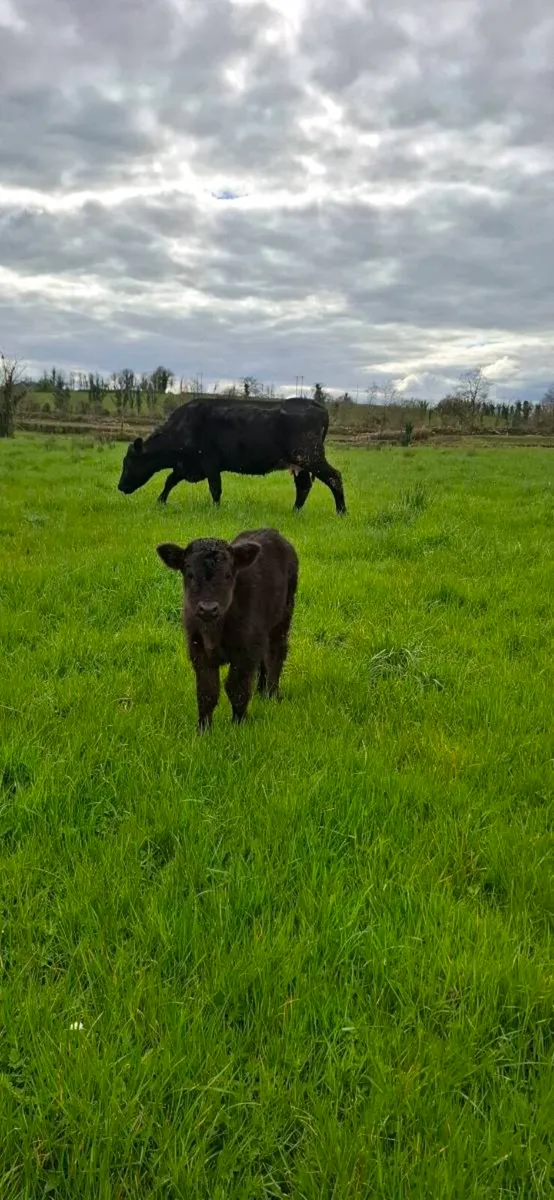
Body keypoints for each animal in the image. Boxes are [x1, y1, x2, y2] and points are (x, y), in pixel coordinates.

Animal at [118, 394, 346, 514]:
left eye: (128, 462)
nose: (120, 486)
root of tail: (317, 406)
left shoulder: (209, 462)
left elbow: (215, 488)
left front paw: (216, 509)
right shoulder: (187, 466)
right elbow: (170, 481)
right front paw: (160, 501)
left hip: (309, 456)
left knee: (334, 477)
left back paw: (341, 512)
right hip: (300, 464)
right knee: (304, 486)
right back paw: (295, 511)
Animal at [157, 528, 298, 732]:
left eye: (228, 575)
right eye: (189, 574)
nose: (208, 608)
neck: (214, 631)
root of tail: (271, 531)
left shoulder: (246, 649)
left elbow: (236, 687)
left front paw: (238, 724)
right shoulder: (198, 649)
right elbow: (206, 691)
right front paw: (203, 729)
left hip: (282, 618)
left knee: (275, 654)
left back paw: (271, 695)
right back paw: (261, 692)